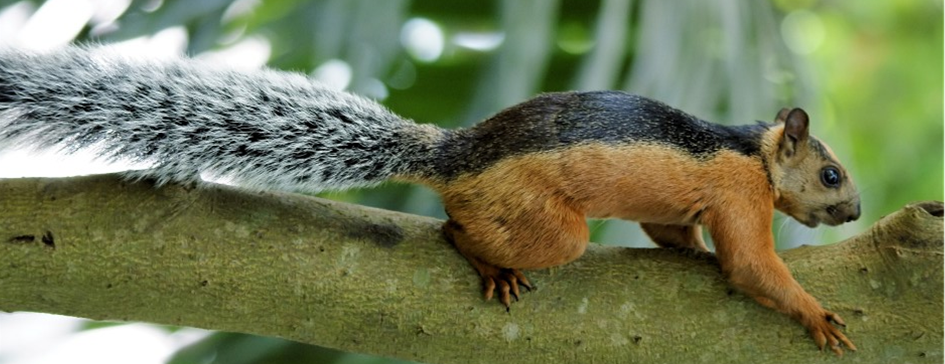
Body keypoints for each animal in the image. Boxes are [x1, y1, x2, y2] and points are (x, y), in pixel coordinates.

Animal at [0, 45, 860, 352]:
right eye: (829, 176)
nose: (854, 214)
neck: (752, 154)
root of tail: (450, 155)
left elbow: (671, 231)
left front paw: (685, 249)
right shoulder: (740, 198)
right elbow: (750, 267)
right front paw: (816, 314)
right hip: (545, 224)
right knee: (466, 231)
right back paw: (484, 262)